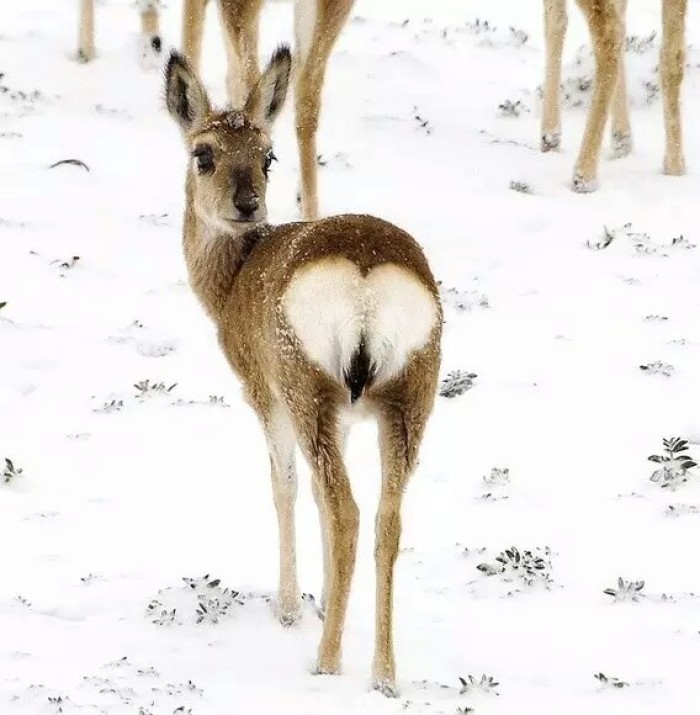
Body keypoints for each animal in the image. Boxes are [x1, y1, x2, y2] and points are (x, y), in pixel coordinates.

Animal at [164, 44, 442, 692]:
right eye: (204, 152)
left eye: (267, 155)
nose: (247, 204)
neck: (231, 282)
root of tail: (367, 278)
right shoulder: (347, 417)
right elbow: (314, 496)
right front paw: (320, 600)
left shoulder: (261, 391)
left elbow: (286, 487)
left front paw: (292, 607)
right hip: (410, 398)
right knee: (387, 518)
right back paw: (384, 673)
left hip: (306, 389)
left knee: (347, 510)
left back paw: (327, 659)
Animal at [540, 0, 684, 192]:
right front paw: (622, 140)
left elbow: (555, 21)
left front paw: (550, 137)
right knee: (672, 55)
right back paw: (675, 167)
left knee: (609, 39)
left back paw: (584, 176)